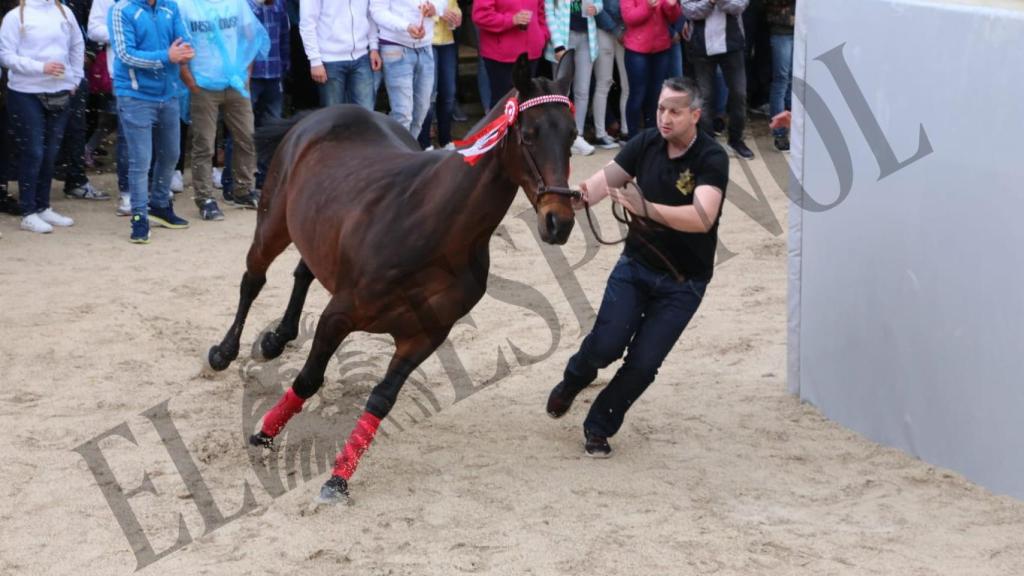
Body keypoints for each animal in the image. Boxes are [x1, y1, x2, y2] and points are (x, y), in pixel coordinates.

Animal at [204, 52, 582, 504]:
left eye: (573, 134)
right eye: (528, 134)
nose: (559, 221)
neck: (433, 228)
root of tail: (324, 114)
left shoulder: (425, 334)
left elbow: (382, 399)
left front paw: (338, 478)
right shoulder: (339, 314)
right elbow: (309, 378)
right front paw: (265, 433)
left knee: (303, 271)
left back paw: (279, 336)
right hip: (273, 221)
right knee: (253, 278)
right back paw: (225, 351)